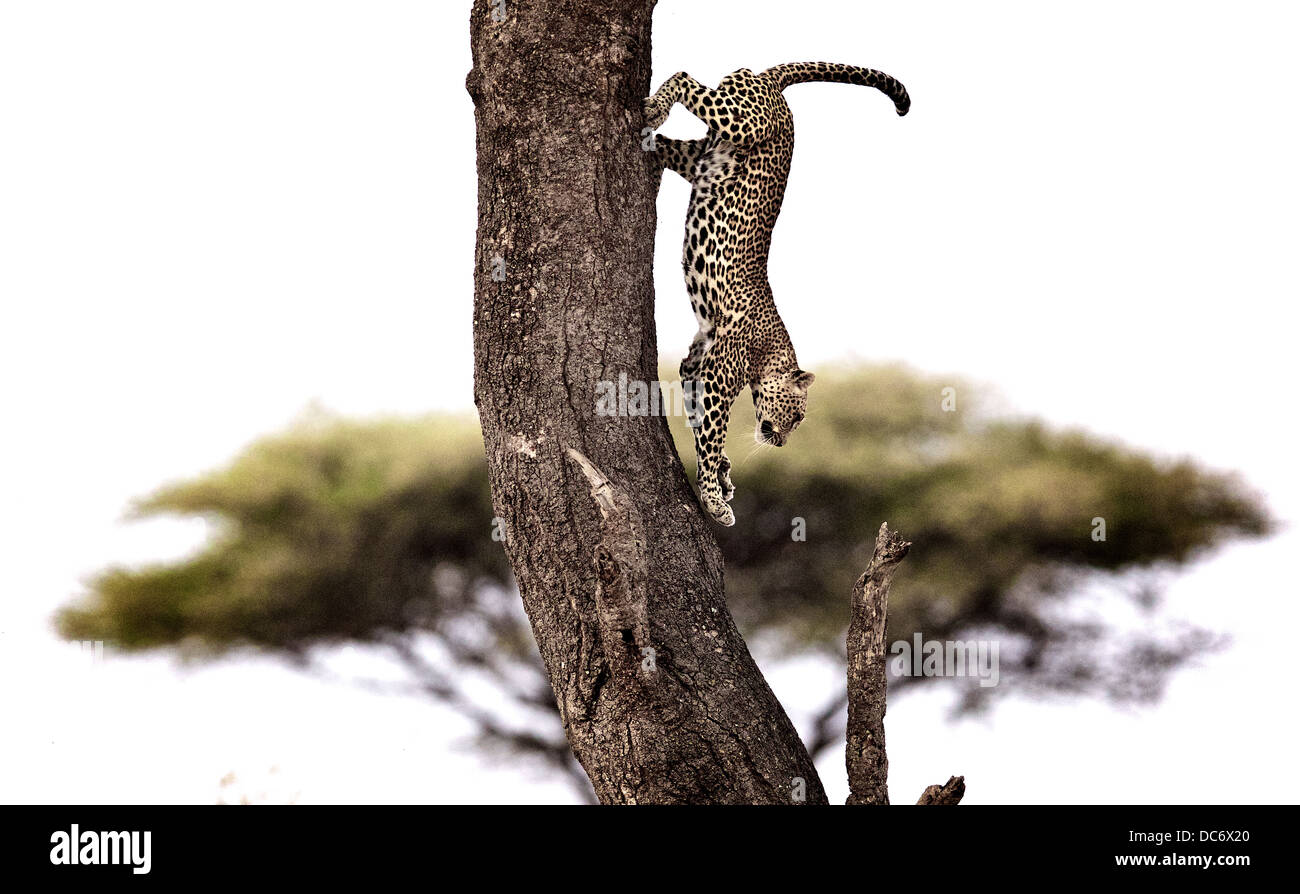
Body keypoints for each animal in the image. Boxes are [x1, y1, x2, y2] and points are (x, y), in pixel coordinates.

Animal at [642, 61, 909, 524]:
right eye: (799, 416)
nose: (783, 443)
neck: (773, 351)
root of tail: (771, 80)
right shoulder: (719, 374)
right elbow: (711, 434)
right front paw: (714, 499)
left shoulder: (696, 363)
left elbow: (699, 423)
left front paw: (724, 474)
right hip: (742, 119)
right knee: (685, 78)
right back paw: (655, 108)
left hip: (704, 154)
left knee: (672, 143)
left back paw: (650, 131)